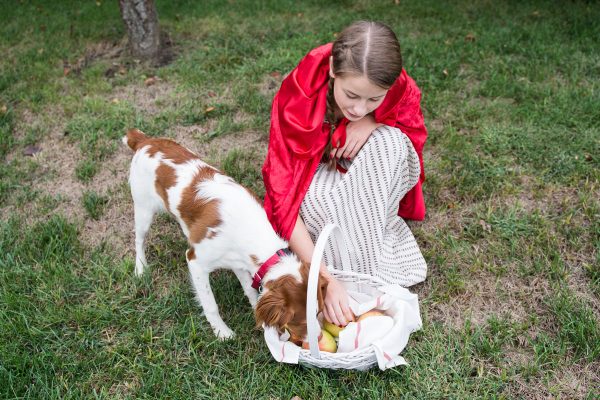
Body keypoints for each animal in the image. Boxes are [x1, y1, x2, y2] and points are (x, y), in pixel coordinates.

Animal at [123, 129, 328, 340]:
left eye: (318, 312)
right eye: (301, 322)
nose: (319, 338)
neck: (250, 229)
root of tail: (144, 141)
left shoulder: (239, 262)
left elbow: (250, 290)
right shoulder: (196, 262)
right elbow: (210, 304)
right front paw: (222, 332)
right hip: (143, 209)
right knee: (139, 240)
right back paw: (141, 269)